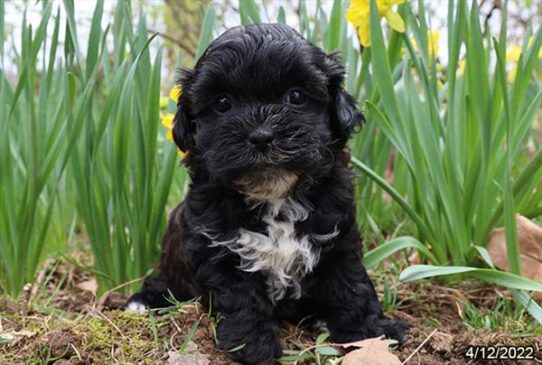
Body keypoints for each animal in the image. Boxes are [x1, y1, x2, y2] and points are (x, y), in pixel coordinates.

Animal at [126, 23, 408, 364]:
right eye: (222, 104)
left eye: (296, 96)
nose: (261, 136)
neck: (275, 197)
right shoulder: (217, 249)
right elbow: (240, 297)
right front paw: (253, 345)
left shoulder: (338, 237)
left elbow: (351, 284)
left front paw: (372, 332)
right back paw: (143, 301)